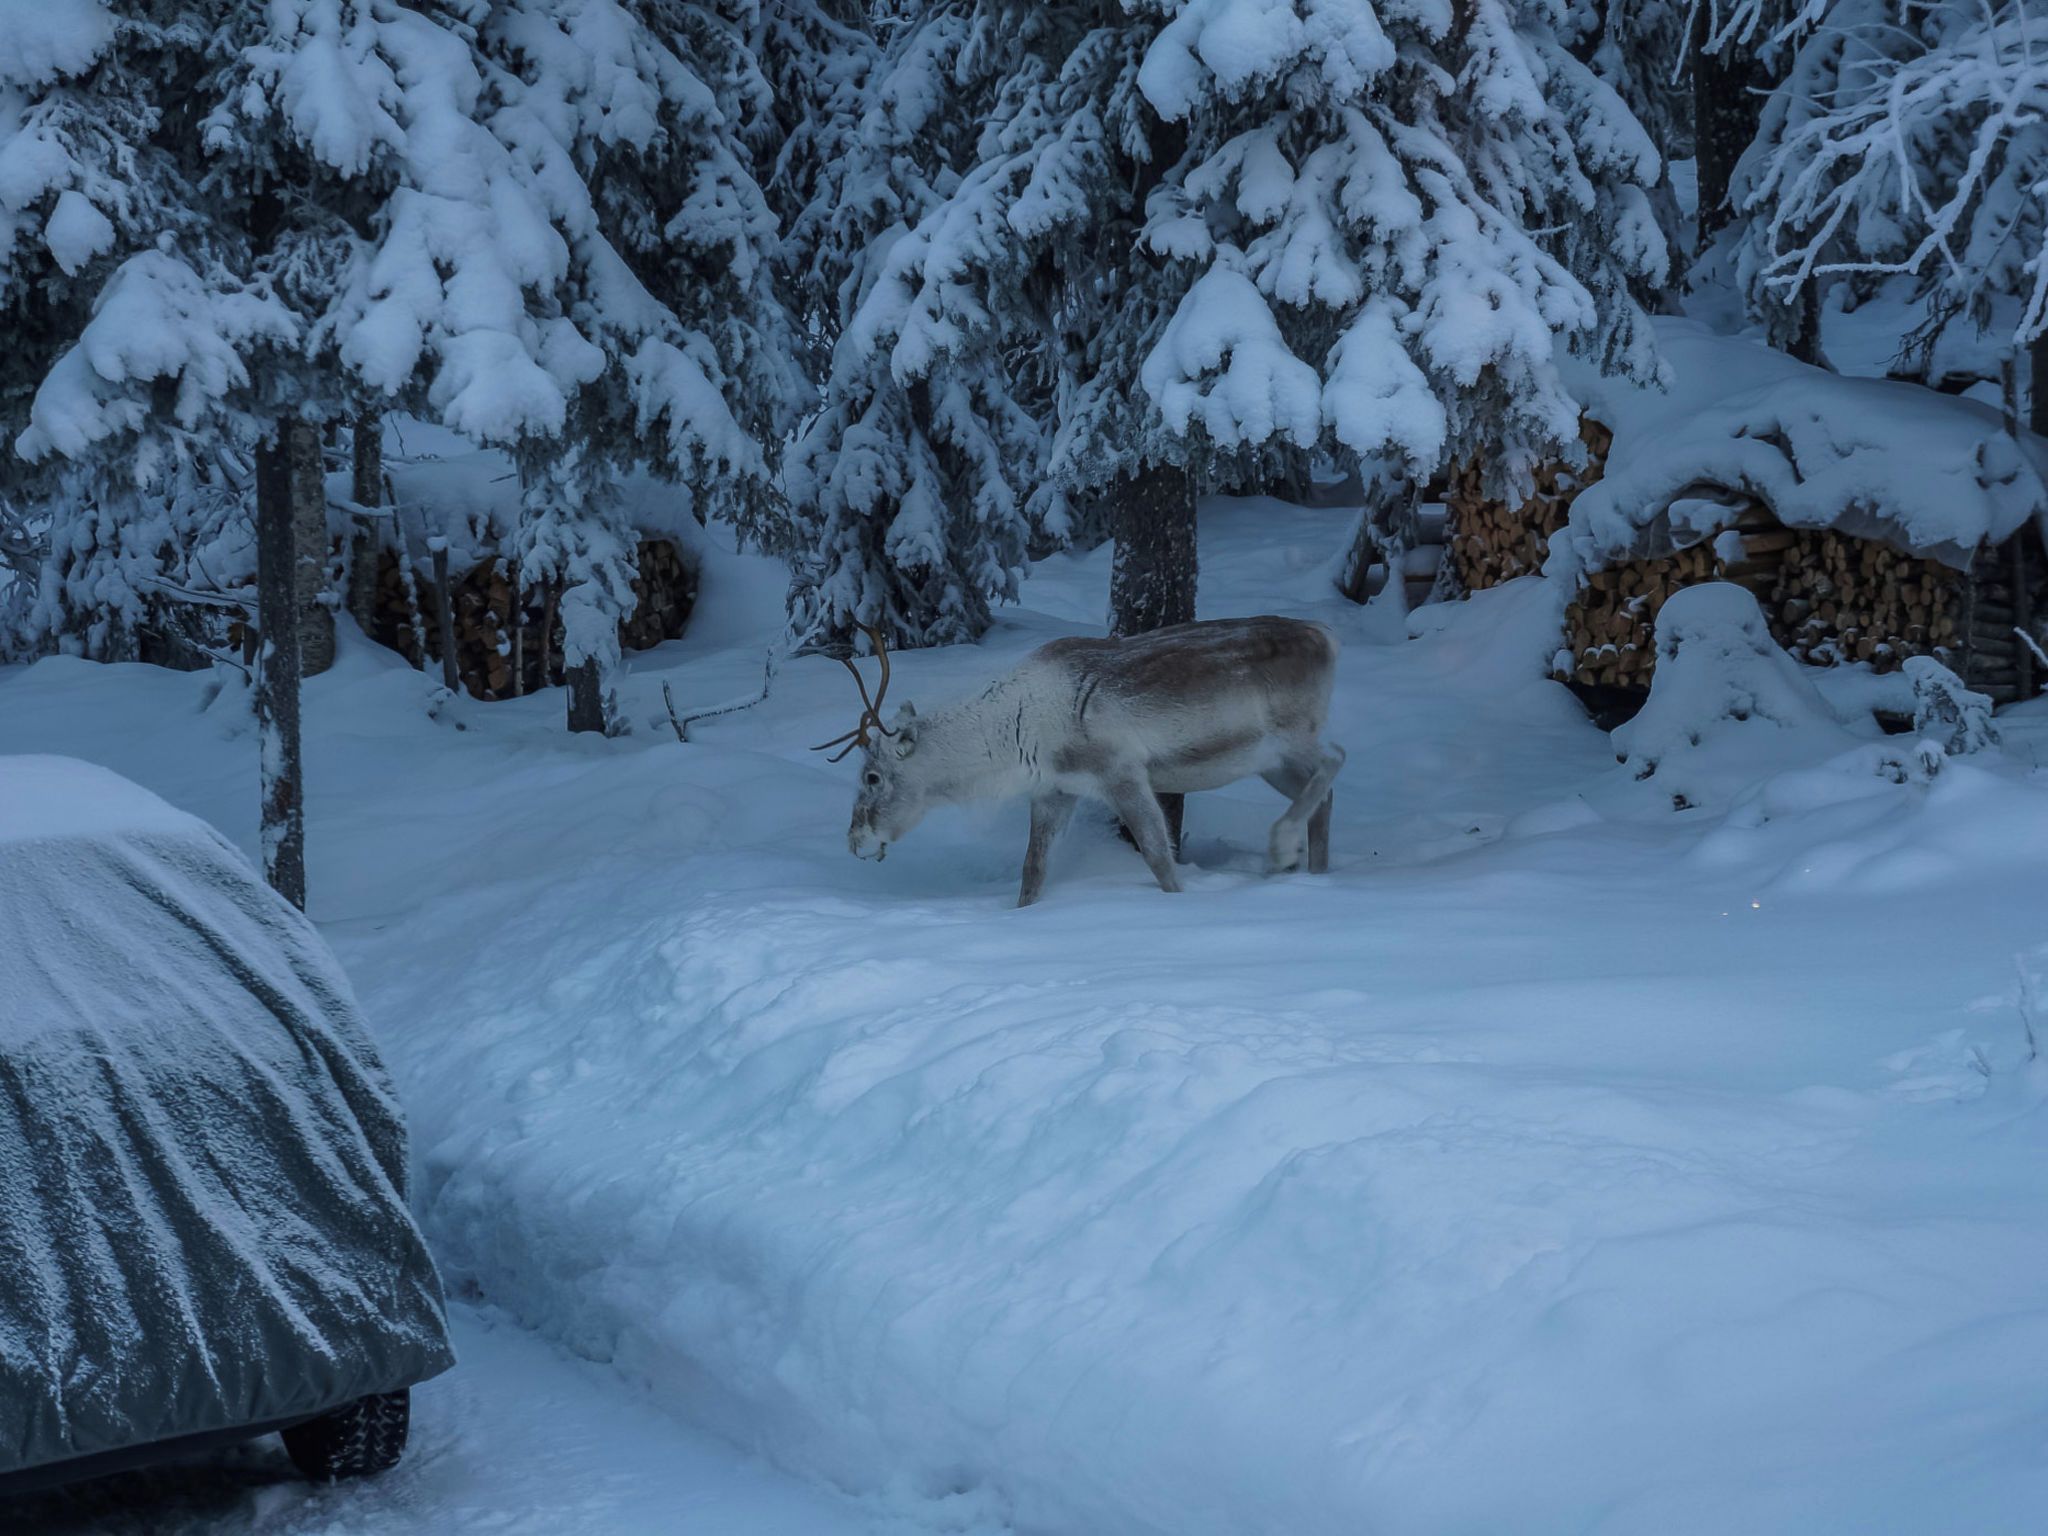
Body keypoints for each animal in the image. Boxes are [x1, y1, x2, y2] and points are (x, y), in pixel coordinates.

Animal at [815, 617, 1345, 906]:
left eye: (872, 776)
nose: (854, 840)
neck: (1016, 739)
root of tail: (1327, 637)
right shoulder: (1055, 789)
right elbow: (1032, 869)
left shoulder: (1120, 769)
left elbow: (1159, 856)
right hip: (1267, 760)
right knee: (1323, 794)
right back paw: (1315, 872)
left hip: (1292, 733)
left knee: (1336, 757)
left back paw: (1283, 848)